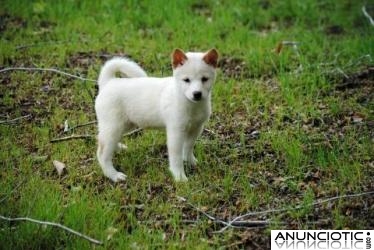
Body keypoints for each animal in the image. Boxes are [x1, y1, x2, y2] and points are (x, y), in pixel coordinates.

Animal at [95, 48, 219, 182]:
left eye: (204, 79)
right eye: (186, 80)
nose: (197, 94)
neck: (191, 105)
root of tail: (108, 82)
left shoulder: (196, 128)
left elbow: (188, 147)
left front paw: (191, 161)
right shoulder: (176, 132)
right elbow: (176, 158)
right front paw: (179, 177)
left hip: (125, 125)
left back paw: (118, 148)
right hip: (113, 126)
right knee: (102, 153)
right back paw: (114, 175)